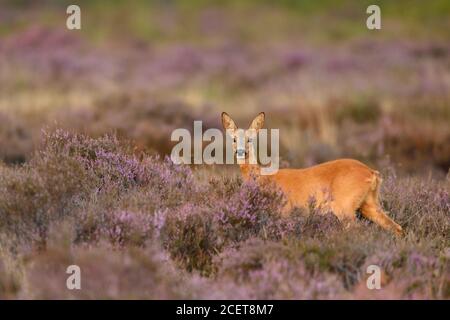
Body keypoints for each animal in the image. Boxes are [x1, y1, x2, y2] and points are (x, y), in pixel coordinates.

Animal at [221, 112, 404, 235]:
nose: (241, 152)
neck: (263, 177)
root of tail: (372, 173)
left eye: (250, 139)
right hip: (370, 204)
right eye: (234, 139)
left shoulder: (284, 210)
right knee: (396, 227)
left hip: (344, 207)